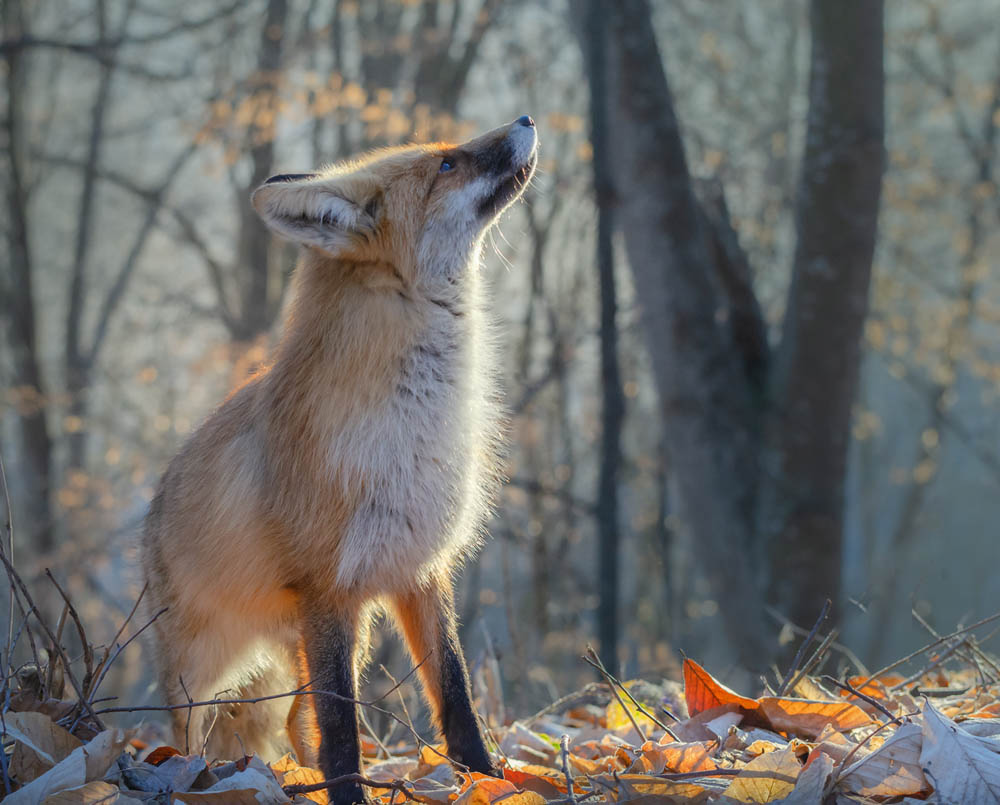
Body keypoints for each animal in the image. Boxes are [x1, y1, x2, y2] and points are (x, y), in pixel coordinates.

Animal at [139, 116, 540, 800]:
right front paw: (351, 792)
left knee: (293, 726)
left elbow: (455, 693)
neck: (413, 430)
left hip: (314, 647)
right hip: (204, 671)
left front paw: (489, 780)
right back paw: (190, 776)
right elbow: (341, 724)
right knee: (192, 735)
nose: (525, 120)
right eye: (446, 165)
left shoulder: (420, 569)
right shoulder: (328, 589)